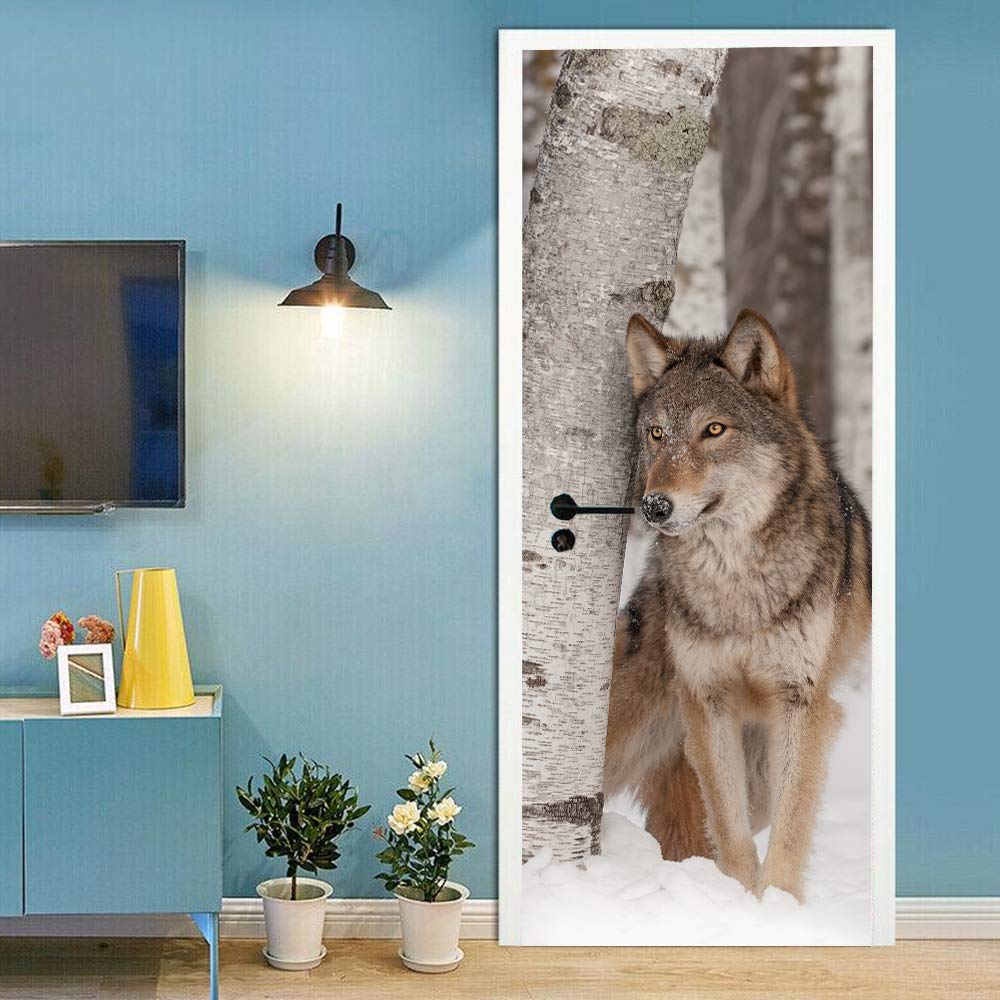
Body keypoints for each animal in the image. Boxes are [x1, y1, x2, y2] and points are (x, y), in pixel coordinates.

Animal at [603, 309, 871, 901]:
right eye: (656, 434)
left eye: (714, 430)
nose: (655, 506)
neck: (735, 583)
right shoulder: (708, 700)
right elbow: (728, 827)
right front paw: (739, 896)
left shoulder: (803, 704)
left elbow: (790, 831)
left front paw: (777, 906)